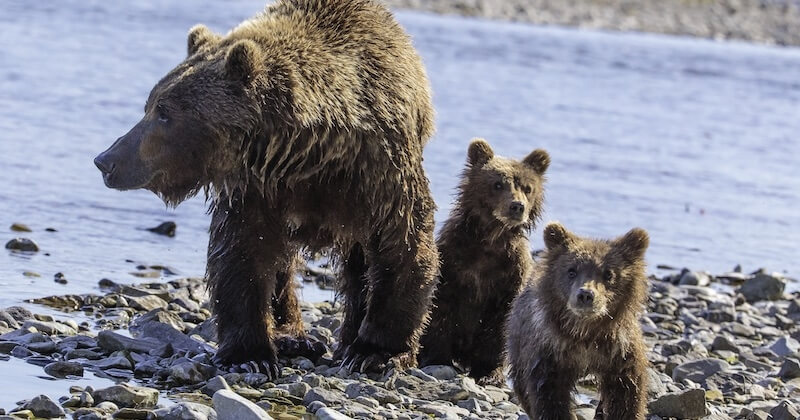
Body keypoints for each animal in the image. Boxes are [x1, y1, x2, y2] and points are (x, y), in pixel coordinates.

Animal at [98, 0, 444, 376]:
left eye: (164, 112)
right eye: (149, 105)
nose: (106, 160)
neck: (307, 155)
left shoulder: (379, 172)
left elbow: (402, 242)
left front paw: (376, 352)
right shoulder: (256, 188)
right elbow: (242, 253)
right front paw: (250, 354)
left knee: (358, 265)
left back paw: (347, 341)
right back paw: (293, 337)